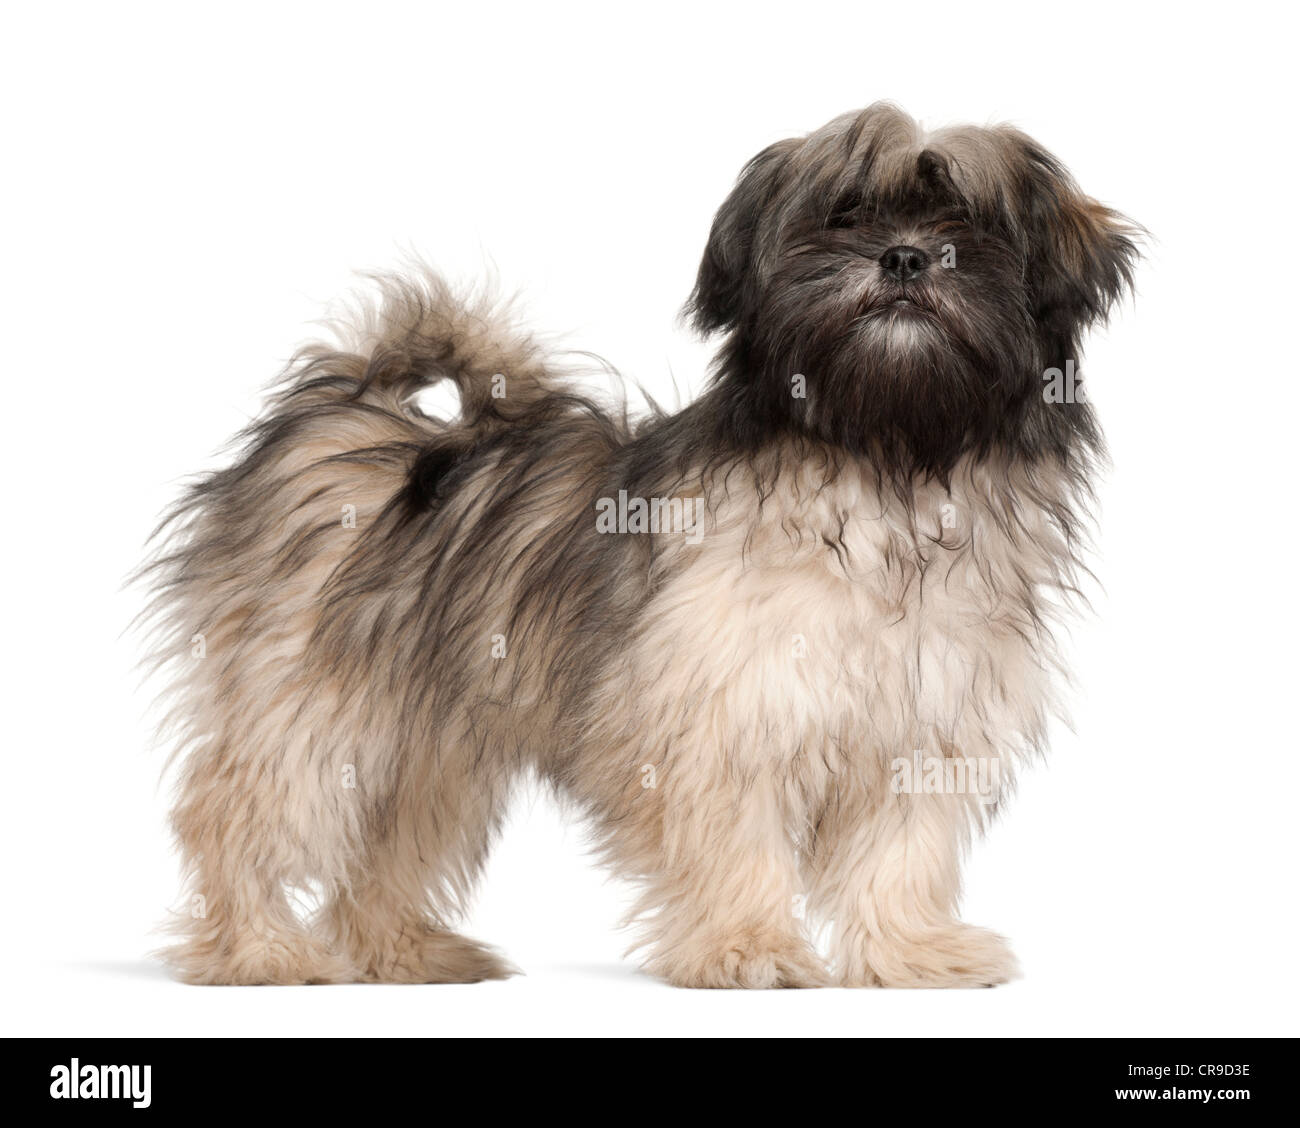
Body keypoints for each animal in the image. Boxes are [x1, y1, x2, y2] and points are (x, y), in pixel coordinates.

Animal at [144, 105, 1138, 987]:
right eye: (842, 214)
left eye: (969, 224)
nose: (902, 256)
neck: (883, 462)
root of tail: (344, 405)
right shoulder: (720, 711)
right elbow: (736, 836)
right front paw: (747, 949)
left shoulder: (923, 725)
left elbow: (898, 854)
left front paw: (910, 954)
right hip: (312, 710)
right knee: (229, 816)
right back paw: (256, 953)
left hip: (433, 743)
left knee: (388, 845)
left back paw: (400, 954)